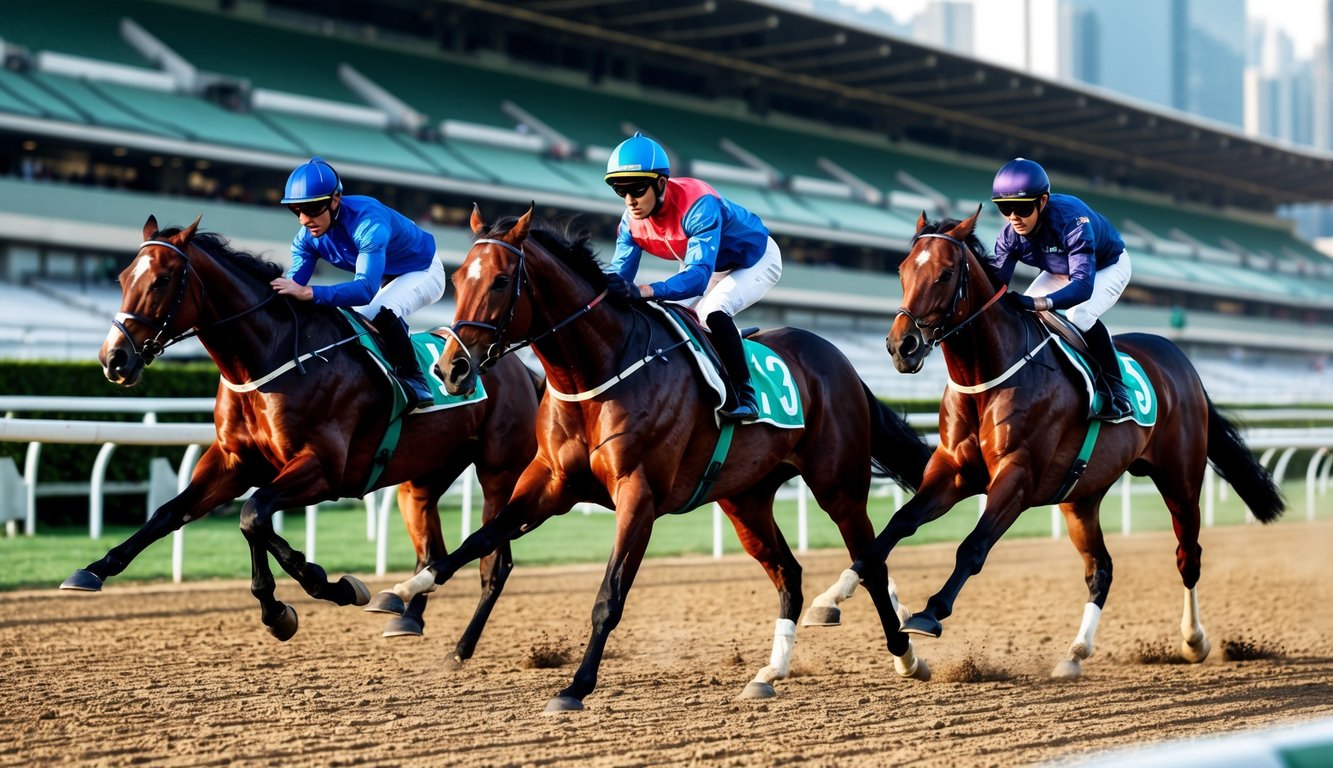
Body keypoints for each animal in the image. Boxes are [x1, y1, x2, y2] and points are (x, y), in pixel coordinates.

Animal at [72, 216, 538, 661]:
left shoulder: (324, 470)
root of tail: (520, 368)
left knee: (495, 562)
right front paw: (93, 568)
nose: (114, 359)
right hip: (423, 475)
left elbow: (253, 516)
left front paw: (317, 590)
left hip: (498, 472)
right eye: (124, 277)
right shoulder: (234, 462)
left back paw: (455, 641)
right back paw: (403, 614)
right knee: (433, 549)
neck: (269, 360)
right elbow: (176, 513)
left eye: (162, 279)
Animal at [383, 205, 927, 714]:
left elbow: (609, 596)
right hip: (745, 500)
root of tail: (840, 361)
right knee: (789, 574)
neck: (598, 371)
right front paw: (406, 592)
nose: (450, 369)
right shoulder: (552, 483)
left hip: (838, 485)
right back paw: (769, 672)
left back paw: (904, 655)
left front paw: (575, 687)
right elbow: (481, 538)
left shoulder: (637, 494)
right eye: (456, 280)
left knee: (871, 564)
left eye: (499, 281)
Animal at [831, 210, 1279, 677]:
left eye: (945, 273)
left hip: (1180, 480)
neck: (987, 377)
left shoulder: (1017, 477)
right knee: (1101, 568)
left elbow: (973, 547)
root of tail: (1181, 360)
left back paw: (1194, 641)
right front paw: (837, 589)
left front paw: (929, 612)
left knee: (1187, 555)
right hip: (1081, 497)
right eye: (901, 270)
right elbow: (901, 521)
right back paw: (1075, 652)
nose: (902, 346)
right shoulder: (952, 471)